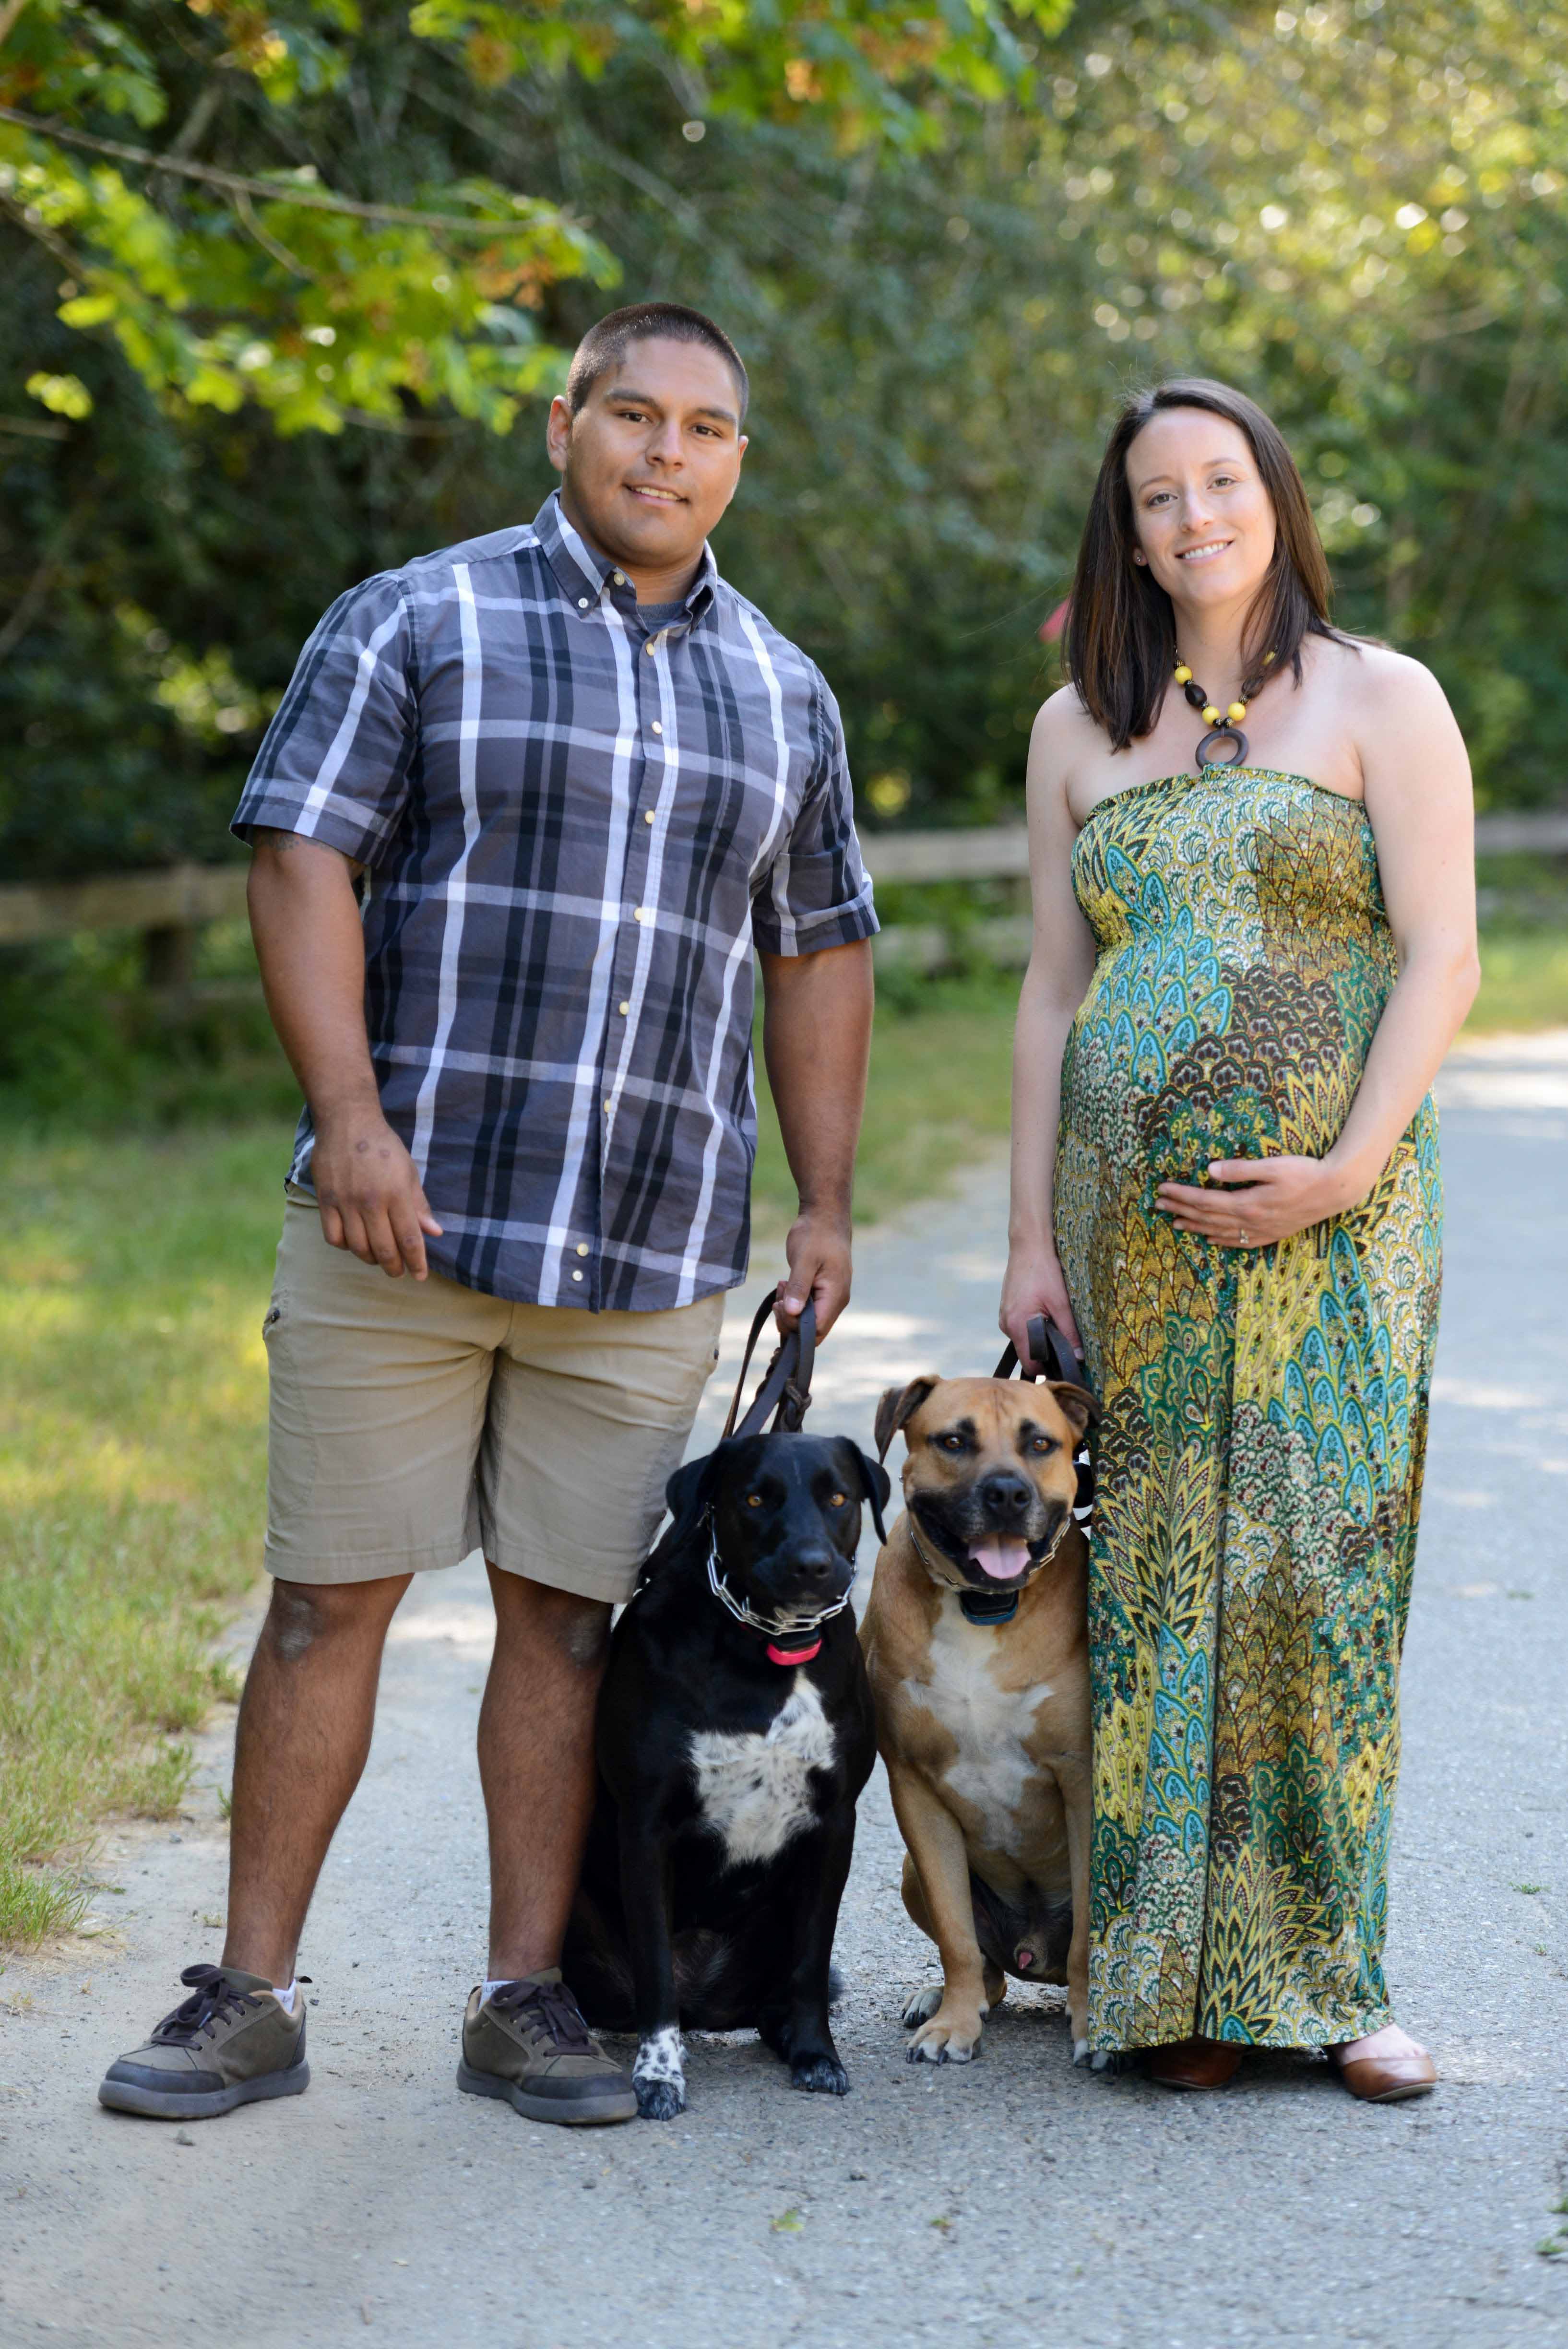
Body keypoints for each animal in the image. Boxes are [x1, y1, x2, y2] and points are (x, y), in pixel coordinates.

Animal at [564, 1419, 889, 2123]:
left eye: (839, 1497)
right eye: (756, 1499)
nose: (811, 1565)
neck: (768, 1647)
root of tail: (706, 2005)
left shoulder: (833, 1826)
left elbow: (811, 1963)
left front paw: (817, 2055)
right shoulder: (647, 1827)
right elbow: (655, 1968)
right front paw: (659, 2076)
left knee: (778, 1996)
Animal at [851, 1372, 1100, 2067]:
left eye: (1040, 1443)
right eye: (954, 1441)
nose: (1007, 1493)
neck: (981, 1607)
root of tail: (1032, 1952)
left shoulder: (1082, 1780)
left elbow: (1089, 1932)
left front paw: (1093, 2023)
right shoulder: (913, 1787)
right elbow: (956, 1935)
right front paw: (955, 2024)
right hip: (910, 1872)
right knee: (988, 1969)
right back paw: (938, 1998)